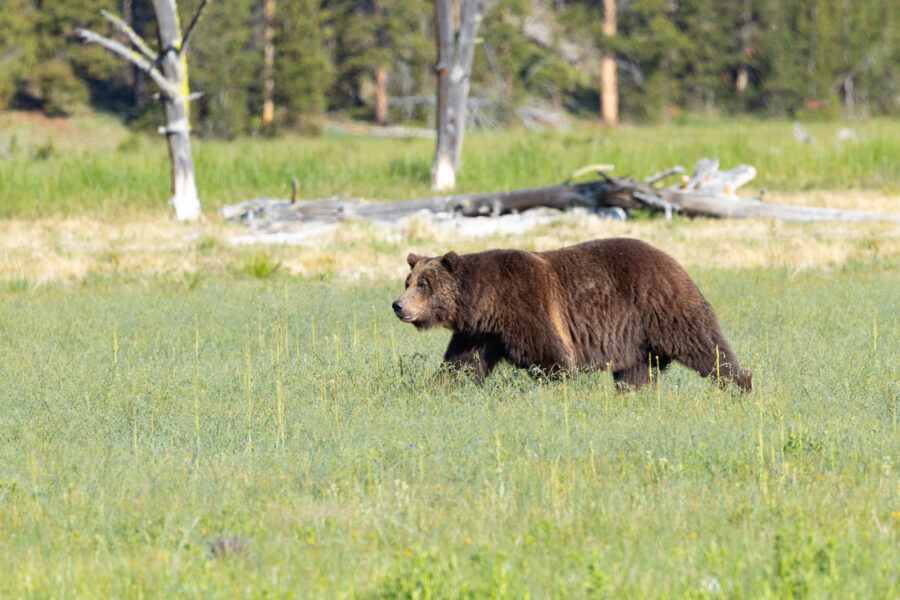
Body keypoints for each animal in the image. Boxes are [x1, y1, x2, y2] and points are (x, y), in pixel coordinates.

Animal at [391, 237, 752, 391]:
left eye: (424, 284)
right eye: (408, 282)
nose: (398, 305)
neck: (488, 304)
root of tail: (673, 260)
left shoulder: (527, 306)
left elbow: (554, 359)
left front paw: (561, 391)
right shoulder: (480, 333)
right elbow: (461, 366)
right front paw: (437, 390)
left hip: (661, 306)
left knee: (704, 345)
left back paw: (740, 384)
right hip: (635, 338)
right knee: (636, 373)